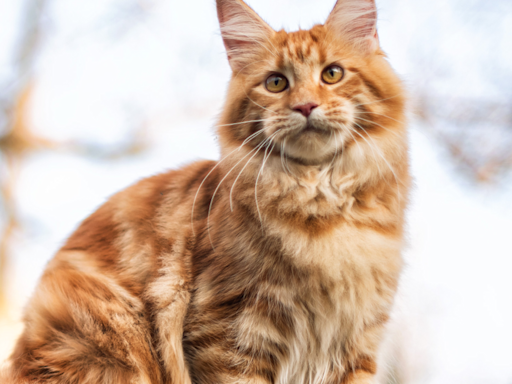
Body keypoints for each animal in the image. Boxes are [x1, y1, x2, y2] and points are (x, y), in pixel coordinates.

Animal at [1, 0, 408, 382]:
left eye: (332, 74)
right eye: (276, 83)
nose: (306, 106)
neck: (319, 198)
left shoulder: (356, 344)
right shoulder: (229, 333)